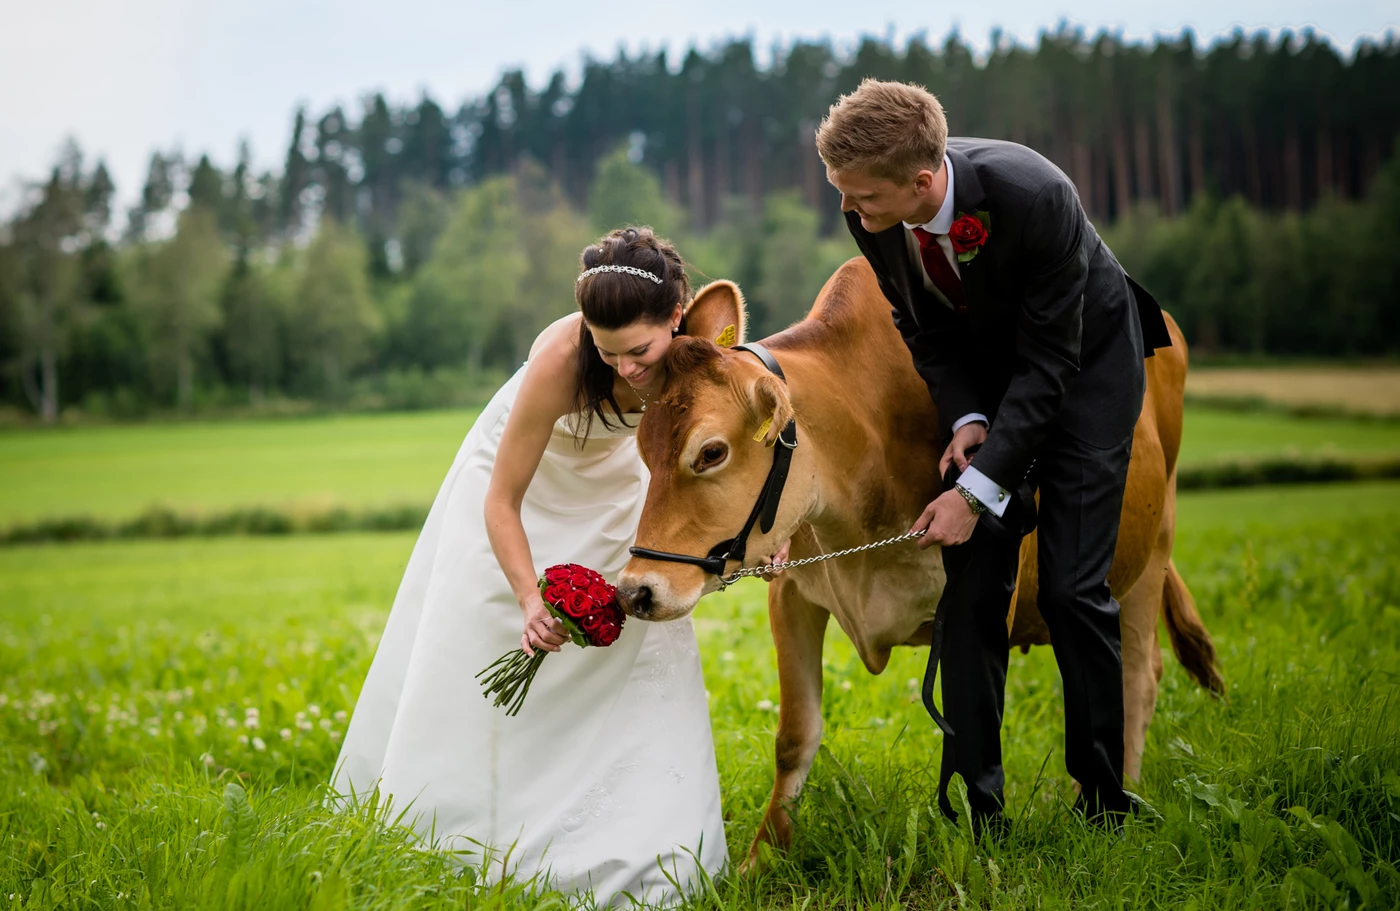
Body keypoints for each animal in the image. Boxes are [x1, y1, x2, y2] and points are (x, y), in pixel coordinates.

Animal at [618, 258, 1220, 867]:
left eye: (711, 452)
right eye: (643, 450)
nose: (635, 590)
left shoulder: (984, 598)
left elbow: (977, 727)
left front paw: (984, 854)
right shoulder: (790, 594)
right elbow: (795, 736)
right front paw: (760, 861)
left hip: (1147, 554)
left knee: (1136, 675)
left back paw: (1114, 803)